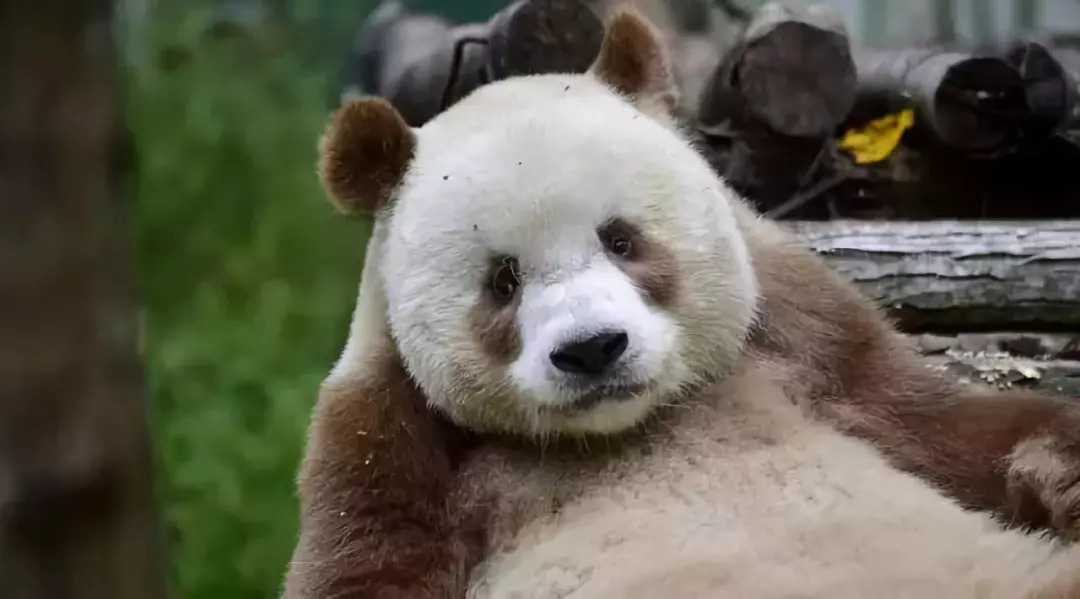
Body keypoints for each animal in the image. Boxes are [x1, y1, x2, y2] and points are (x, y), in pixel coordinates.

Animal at [282, 7, 1080, 599]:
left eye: (621, 238)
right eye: (502, 281)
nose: (593, 349)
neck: (625, 427)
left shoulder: (805, 341)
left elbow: (939, 423)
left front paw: (1063, 476)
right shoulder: (388, 437)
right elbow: (368, 561)